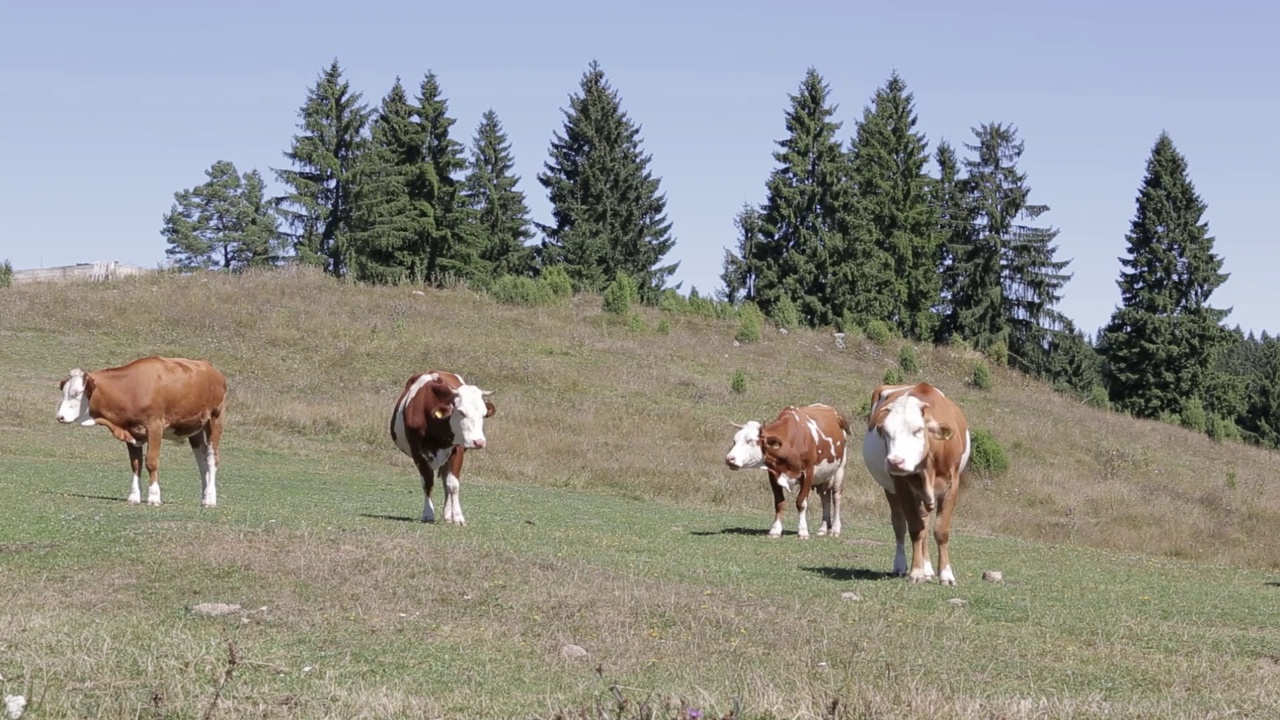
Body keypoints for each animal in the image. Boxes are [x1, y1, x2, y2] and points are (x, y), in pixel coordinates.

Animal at [54, 356, 227, 507]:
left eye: (76, 393)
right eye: (64, 392)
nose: (59, 417)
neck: (130, 390)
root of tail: (211, 369)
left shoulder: (155, 426)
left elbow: (151, 462)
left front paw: (154, 497)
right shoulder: (131, 432)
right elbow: (136, 464)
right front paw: (134, 496)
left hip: (215, 419)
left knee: (212, 459)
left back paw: (210, 499)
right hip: (195, 429)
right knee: (201, 461)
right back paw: (204, 497)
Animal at [384, 368, 494, 520]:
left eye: (484, 414)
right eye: (461, 411)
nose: (479, 442)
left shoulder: (458, 449)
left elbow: (453, 484)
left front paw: (458, 516)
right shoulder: (417, 452)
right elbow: (427, 482)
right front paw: (428, 513)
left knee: (446, 481)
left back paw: (448, 514)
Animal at [721, 399, 849, 535]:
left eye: (750, 441)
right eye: (734, 440)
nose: (729, 458)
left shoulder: (808, 472)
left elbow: (801, 502)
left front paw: (803, 531)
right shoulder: (773, 473)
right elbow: (779, 503)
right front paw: (775, 530)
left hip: (840, 468)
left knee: (836, 495)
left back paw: (835, 529)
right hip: (824, 475)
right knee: (825, 496)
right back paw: (823, 528)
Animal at [860, 381, 967, 584]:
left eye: (918, 430)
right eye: (886, 432)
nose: (894, 461)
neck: (928, 467)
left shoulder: (953, 485)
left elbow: (941, 530)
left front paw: (946, 574)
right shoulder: (902, 486)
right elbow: (916, 529)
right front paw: (916, 572)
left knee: (925, 523)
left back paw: (928, 569)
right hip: (890, 489)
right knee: (901, 525)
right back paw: (903, 566)